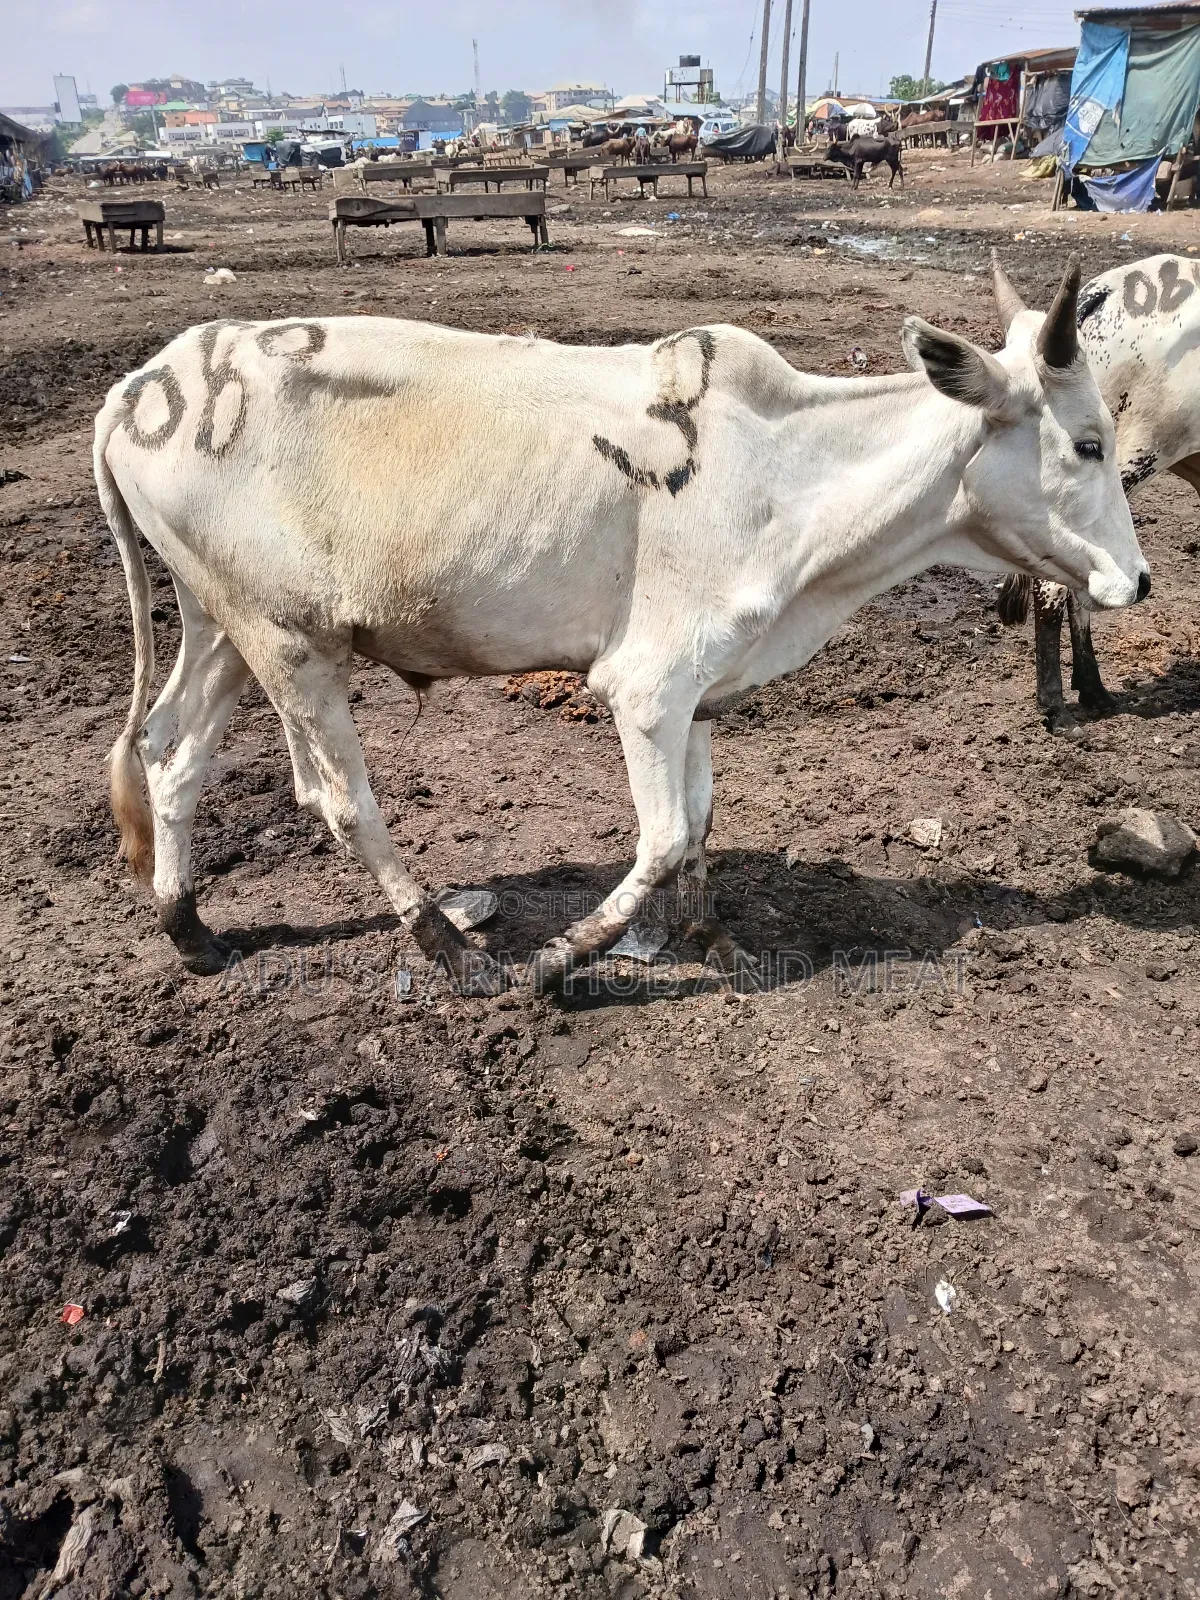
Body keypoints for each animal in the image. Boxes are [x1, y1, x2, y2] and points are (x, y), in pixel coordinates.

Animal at [95, 260, 1145, 990]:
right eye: (1088, 443)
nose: (1136, 580)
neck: (785, 474)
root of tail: (140, 387)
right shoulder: (645, 687)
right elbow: (665, 834)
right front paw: (564, 958)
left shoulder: (703, 690)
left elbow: (702, 816)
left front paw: (704, 936)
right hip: (289, 641)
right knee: (343, 799)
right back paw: (449, 949)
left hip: (220, 623)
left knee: (170, 751)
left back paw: (189, 927)